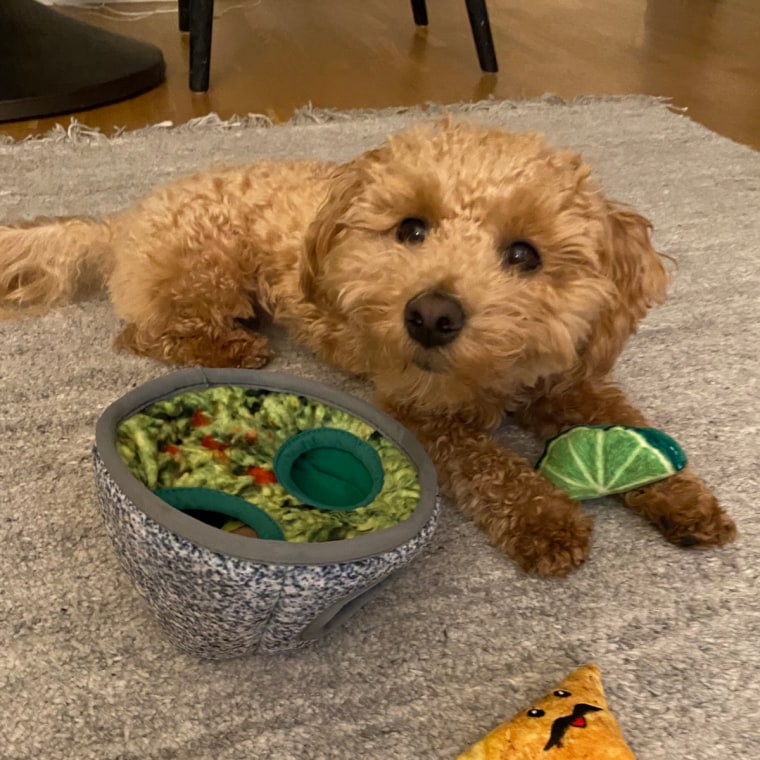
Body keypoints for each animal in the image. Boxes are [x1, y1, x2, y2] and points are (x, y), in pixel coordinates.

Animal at [0, 121, 736, 576]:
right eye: (411, 229)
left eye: (525, 254)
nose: (431, 315)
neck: (491, 376)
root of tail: (122, 221)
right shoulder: (418, 407)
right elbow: (488, 467)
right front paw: (545, 520)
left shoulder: (568, 380)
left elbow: (627, 425)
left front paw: (686, 500)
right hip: (205, 268)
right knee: (143, 331)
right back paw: (235, 348)